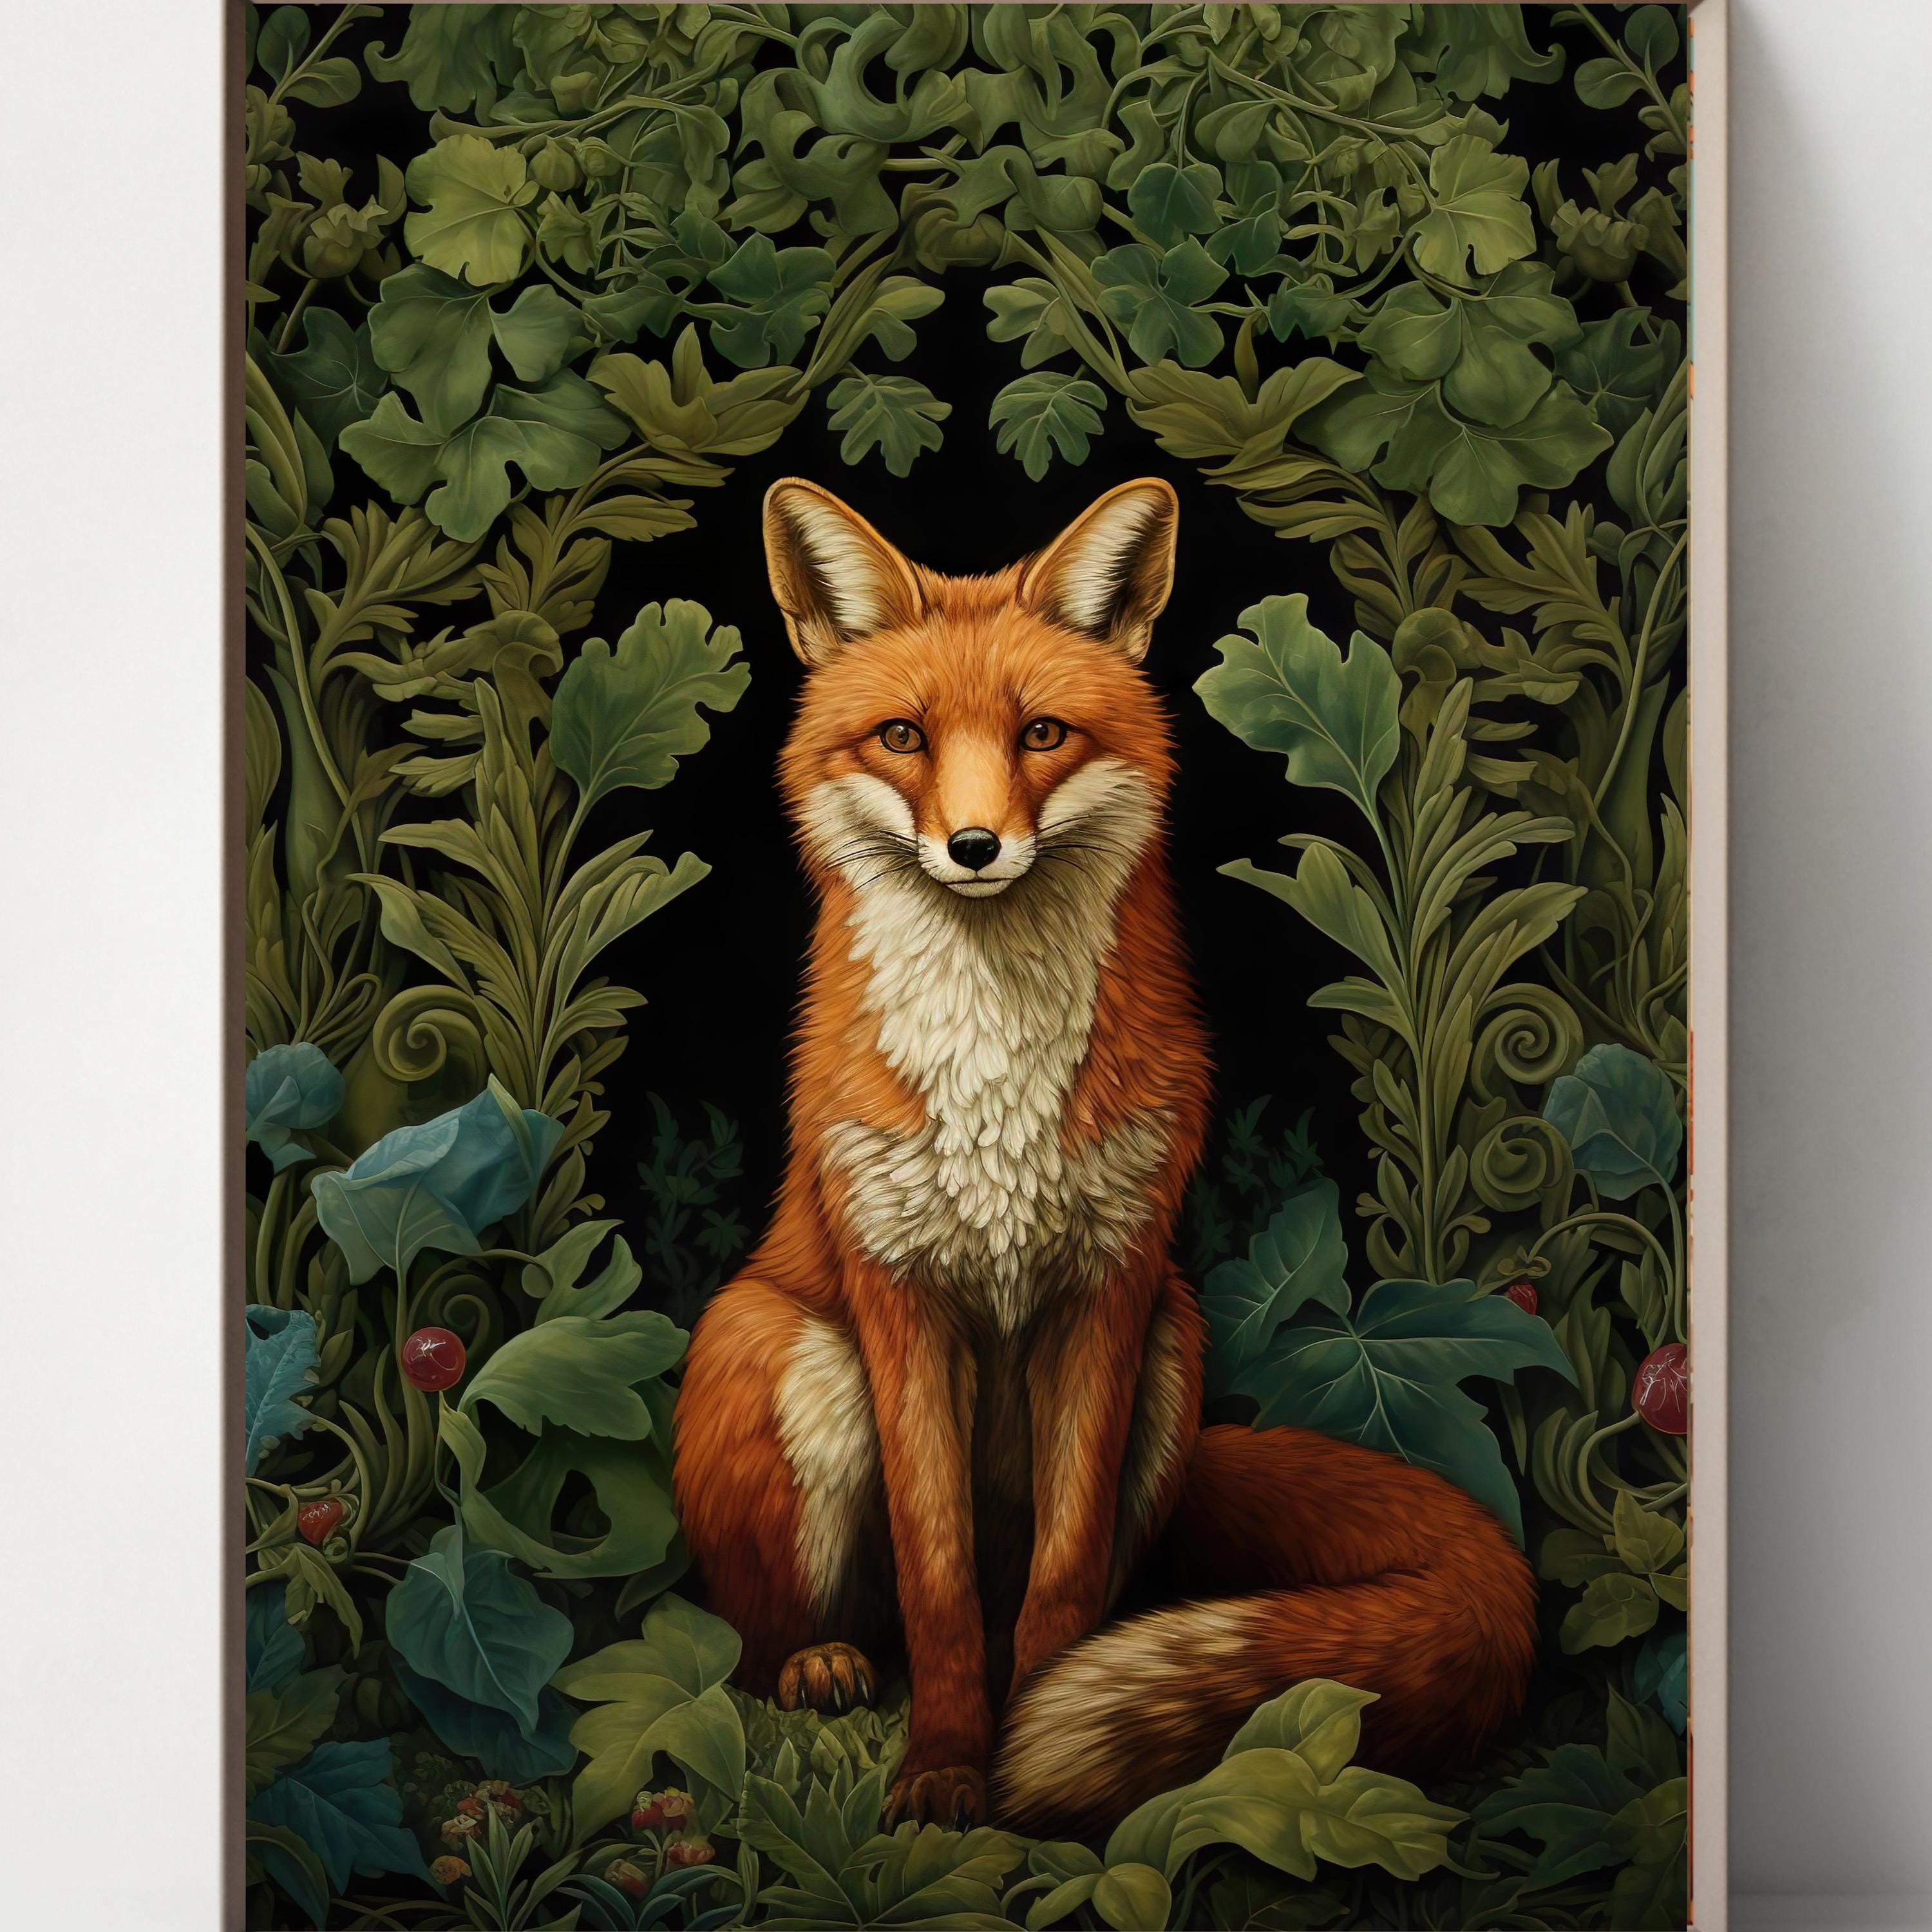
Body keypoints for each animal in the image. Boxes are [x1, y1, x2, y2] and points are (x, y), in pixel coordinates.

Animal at [671, 475, 1538, 1836]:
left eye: (1042, 734)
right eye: (904, 737)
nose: (975, 847)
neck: (995, 1082)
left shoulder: (1112, 1287)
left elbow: (1066, 1582)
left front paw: (1037, 1748)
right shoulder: (899, 1294)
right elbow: (936, 1586)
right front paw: (945, 1768)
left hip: (1175, 1354)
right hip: (793, 1355)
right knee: (765, 1637)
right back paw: (820, 1662)